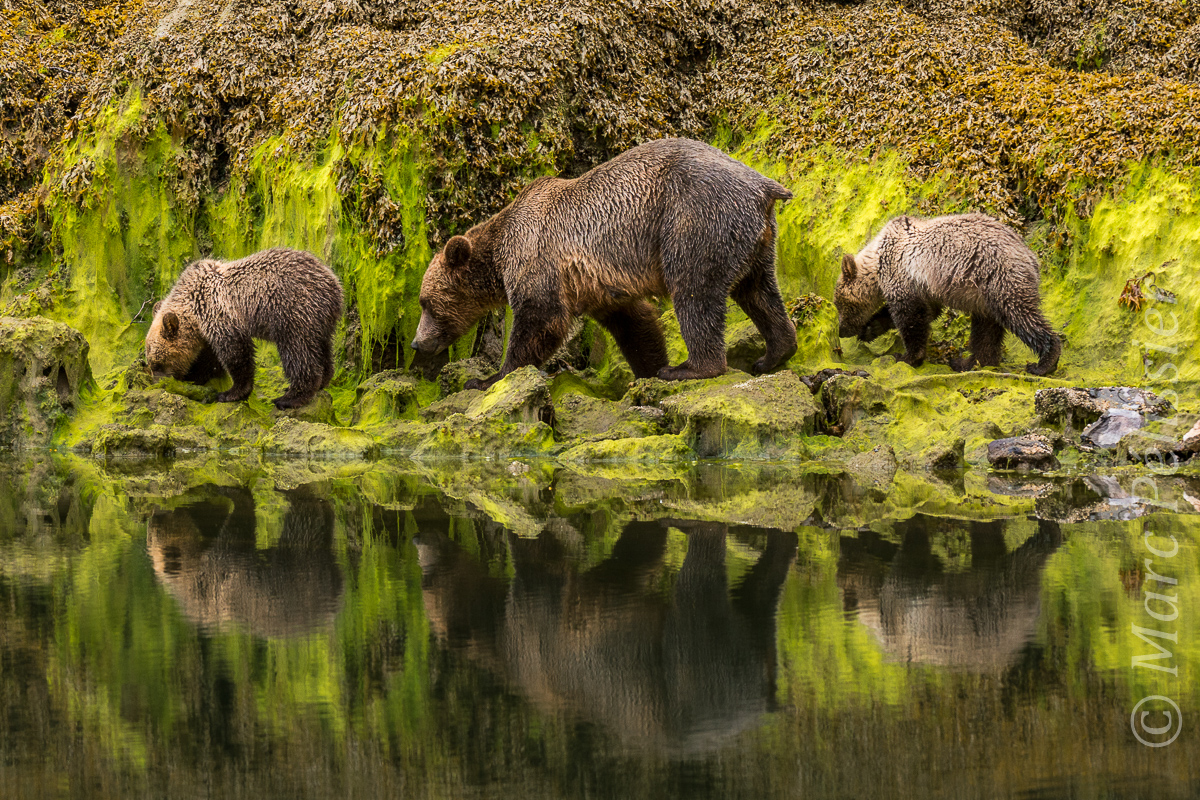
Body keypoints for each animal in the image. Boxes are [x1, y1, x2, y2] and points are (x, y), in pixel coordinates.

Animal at [146, 248, 343, 410]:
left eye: (157, 363)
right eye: (151, 361)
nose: (155, 381)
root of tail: (335, 286)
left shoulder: (218, 311)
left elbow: (236, 352)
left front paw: (230, 393)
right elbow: (211, 358)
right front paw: (198, 376)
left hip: (293, 310)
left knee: (298, 351)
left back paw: (290, 398)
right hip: (319, 320)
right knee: (322, 346)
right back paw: (323, 380)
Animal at [410, 137, 796, 391]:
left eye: (427, 303)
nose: (416, 343)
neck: (499, 250)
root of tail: (765, 185)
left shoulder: (539, 256)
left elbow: (540, 318)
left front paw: (487, 377)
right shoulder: (600, 286)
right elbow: (635, 324)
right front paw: (649, 366)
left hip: (693, 217)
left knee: (694, 291)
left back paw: (691, 368)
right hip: (754, 239)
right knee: (759, 292)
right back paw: (773, 354)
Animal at [835, 212, 1060, 376]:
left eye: (840, 305)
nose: (841, 330)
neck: (876, 261)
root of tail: (1030, 255)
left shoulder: (902, 272)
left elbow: (909, 315)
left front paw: (907, 356)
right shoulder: (926, 287)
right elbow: (926, 312)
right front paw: (869, 330)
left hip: (999, 276)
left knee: (1019, 314)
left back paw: (1044, 362)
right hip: (985, 296)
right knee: (986, 329)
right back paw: (968, 362)